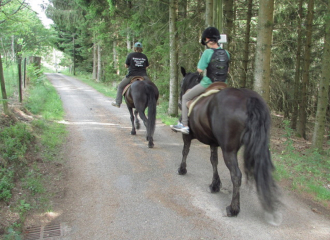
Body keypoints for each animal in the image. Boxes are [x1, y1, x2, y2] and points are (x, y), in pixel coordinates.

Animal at [177, 67, 280, 223]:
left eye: (182, 82)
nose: (178, 102)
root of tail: (249, 99)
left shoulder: (187, 136)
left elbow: (185, 151)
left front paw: (182, 169)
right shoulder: (213, 142)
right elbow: (213, 161)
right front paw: (215, 185)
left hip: (229, 150)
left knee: (236, 175)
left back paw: (233, 209)